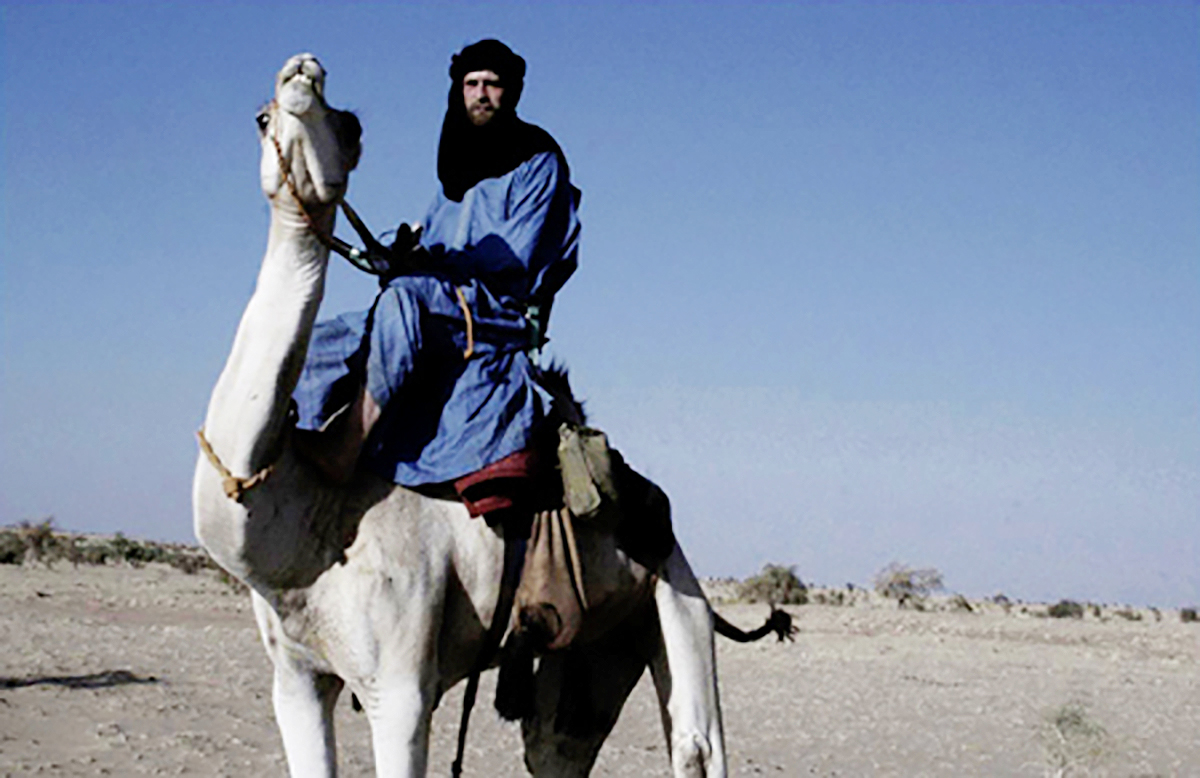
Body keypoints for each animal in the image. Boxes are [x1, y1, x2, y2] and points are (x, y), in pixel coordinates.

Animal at [192, 51, 724, 773]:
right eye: (261, 117)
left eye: (352, 127)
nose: (302, 72)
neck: (307, 522)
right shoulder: (295, 677)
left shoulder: (401, 688)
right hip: (593, 643)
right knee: (555, 745)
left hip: (679, 595)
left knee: (697, 740)